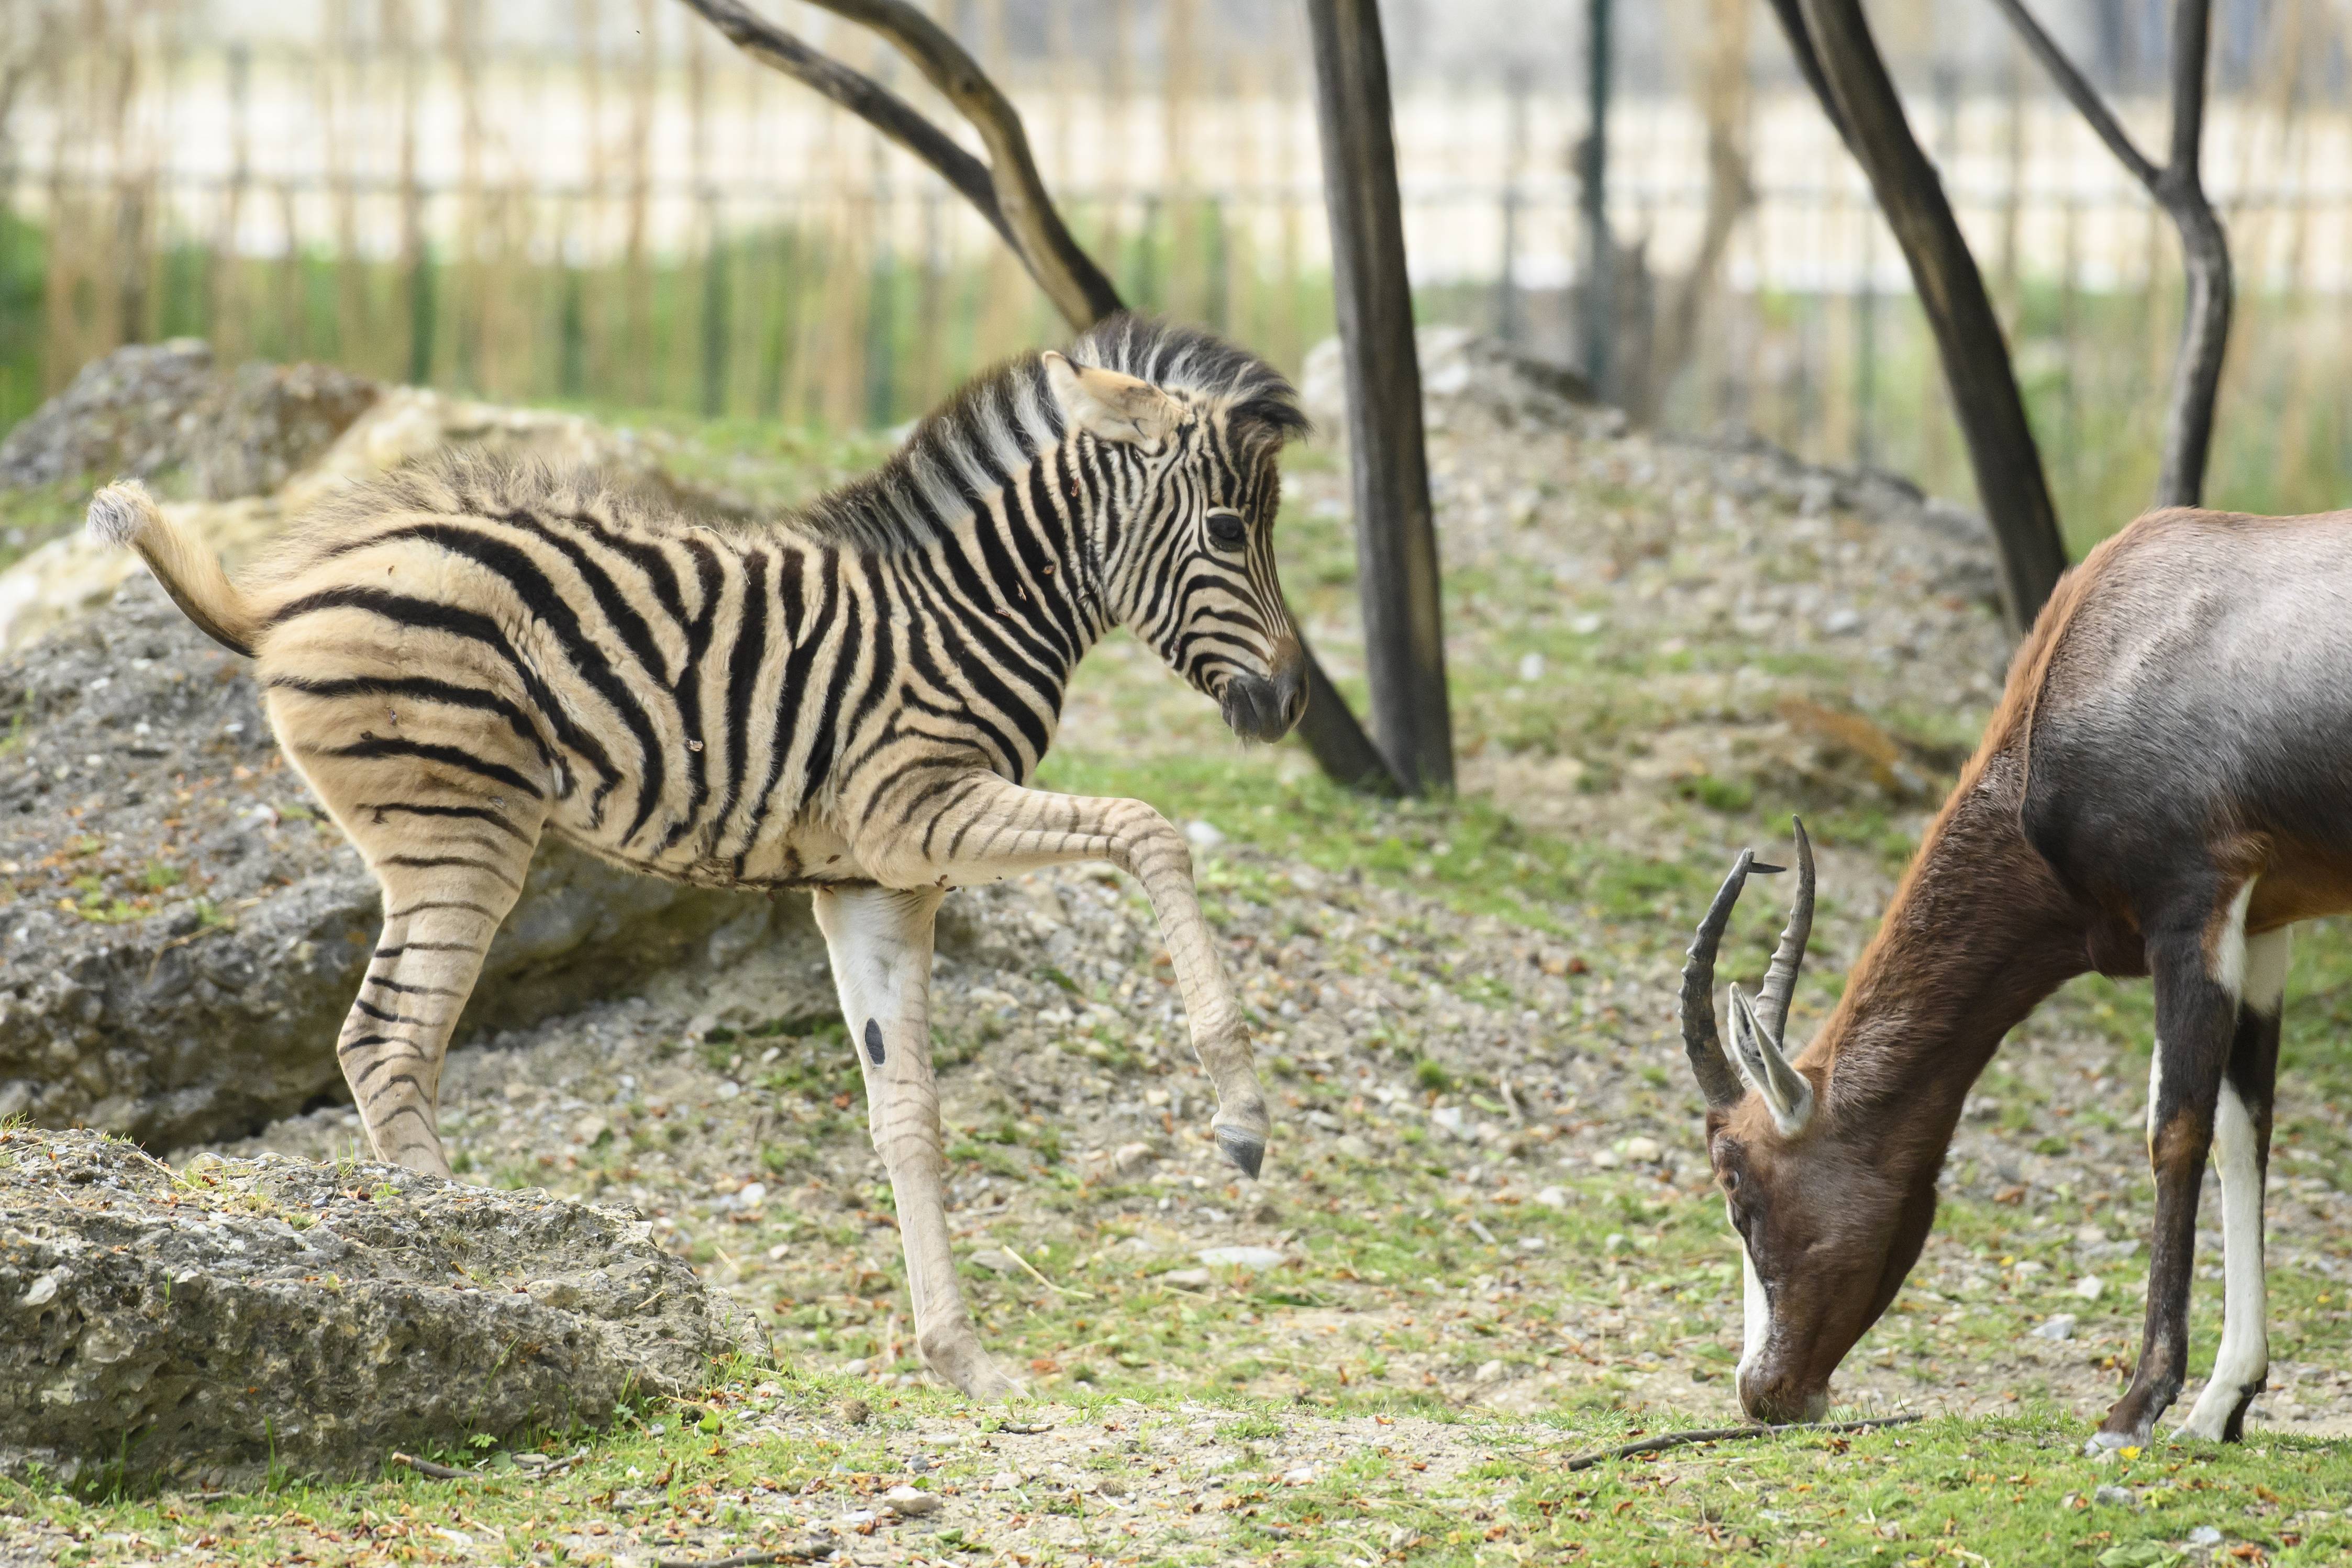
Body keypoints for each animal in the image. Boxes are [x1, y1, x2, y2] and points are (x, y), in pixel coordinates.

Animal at [83, 319, 1317, 1401]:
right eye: (1224, 530)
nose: (1293, 704)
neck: (971, 613)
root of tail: (282, 595)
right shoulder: (917, 809)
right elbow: (1149, 830)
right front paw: (1242, 1113)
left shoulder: (877, 883)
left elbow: (907, 1119)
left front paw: (960, 1361)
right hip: (462, 834)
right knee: (388, 1042)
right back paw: (467, 1273)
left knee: (385, 1044)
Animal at [1684, 510, 2343, 1457]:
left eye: (1738, 1188)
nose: (1762, 1393)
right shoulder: (2260, 924)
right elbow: (2242, 1130)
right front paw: (2222, 1404)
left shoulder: (2192, 908)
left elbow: (2174, 1132)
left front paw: (2134, 1407)